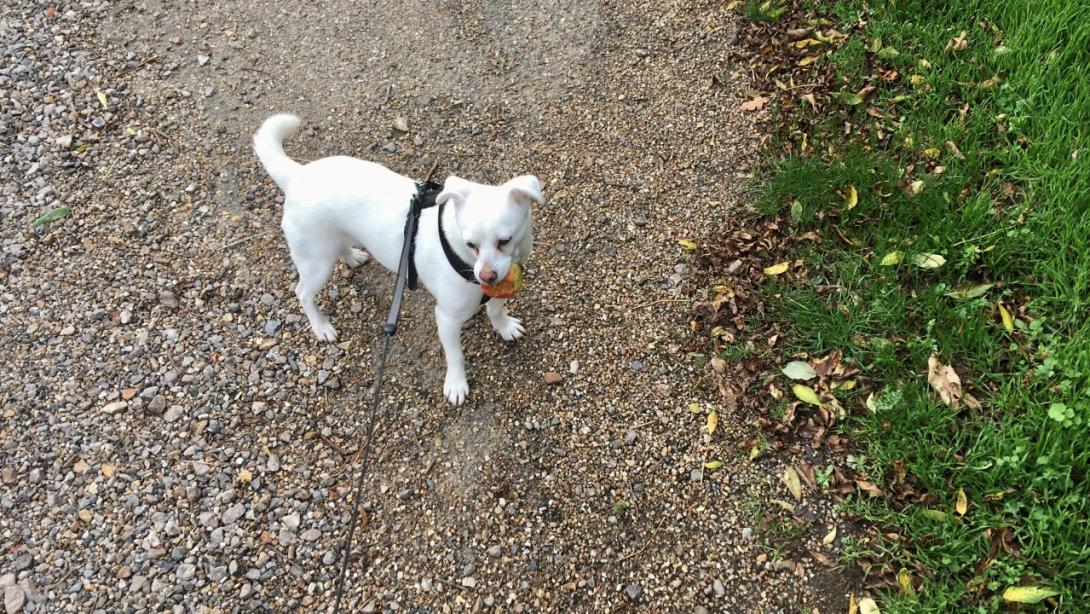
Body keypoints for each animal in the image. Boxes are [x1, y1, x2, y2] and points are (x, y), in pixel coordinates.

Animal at [255, 112, 545, 405]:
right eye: (470, 244)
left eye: (504, 240)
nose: (487, 276)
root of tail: (298, 176)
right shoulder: (447, 319)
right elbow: (456, 356)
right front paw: (456, 384)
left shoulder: (498, 288)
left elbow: (496, 310)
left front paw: (504, 327)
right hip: (317, 264)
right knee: (303, 293)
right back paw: (321, 326)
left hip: (330, 244)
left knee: (339, 248)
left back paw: (351, 256)